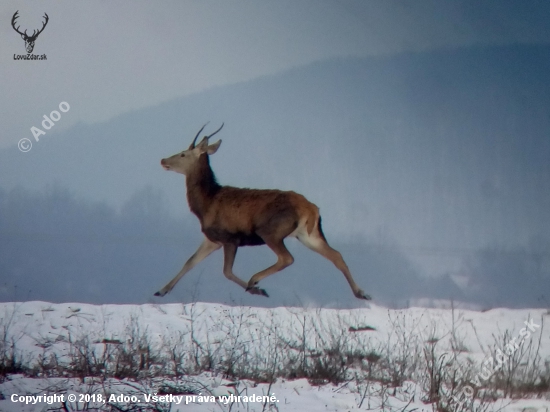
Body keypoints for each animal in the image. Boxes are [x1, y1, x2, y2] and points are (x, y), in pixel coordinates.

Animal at [153, 124, 374, 300]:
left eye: (183, 154)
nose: (163, 160)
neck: (205, 204)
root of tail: (312, 208)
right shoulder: (212, 239)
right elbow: (190, 261)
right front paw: (161, 291)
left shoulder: (230, 237)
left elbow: (226, 272)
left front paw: (256, 290)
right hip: (308, 234)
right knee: (336, 255)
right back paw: (362, 293)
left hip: (271, 230)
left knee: (287, 258)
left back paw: (254, 280)